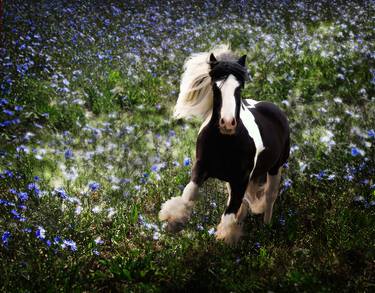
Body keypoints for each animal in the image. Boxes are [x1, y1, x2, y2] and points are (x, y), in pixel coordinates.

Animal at [159, 44, 290, 244]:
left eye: (239, 87)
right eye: (215, 86)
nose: (227, 123)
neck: (224, 143)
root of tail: (273, 108)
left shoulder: (241, 178)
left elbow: (231, 211)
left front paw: (226, 237)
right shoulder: (201, 167)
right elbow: (189, 193)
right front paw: (173, 221)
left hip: (275, 168)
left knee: (269, 196)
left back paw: (267, 228)